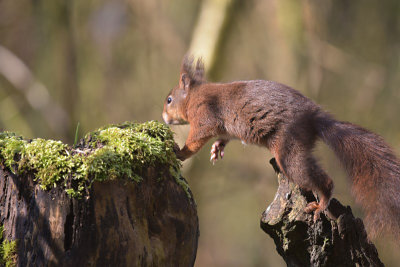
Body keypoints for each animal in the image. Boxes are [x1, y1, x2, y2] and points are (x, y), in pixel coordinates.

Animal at [162, 56, 400, 241]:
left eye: (169, 99)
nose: (164, 118)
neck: (193, 96)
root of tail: (313, 119)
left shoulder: (205, 115)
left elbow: (197, 137)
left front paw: (181, 151)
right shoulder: (224, 127)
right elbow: (224, 136)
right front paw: (217, 147)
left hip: (288, 148)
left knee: (322, 180)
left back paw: (320, 204)